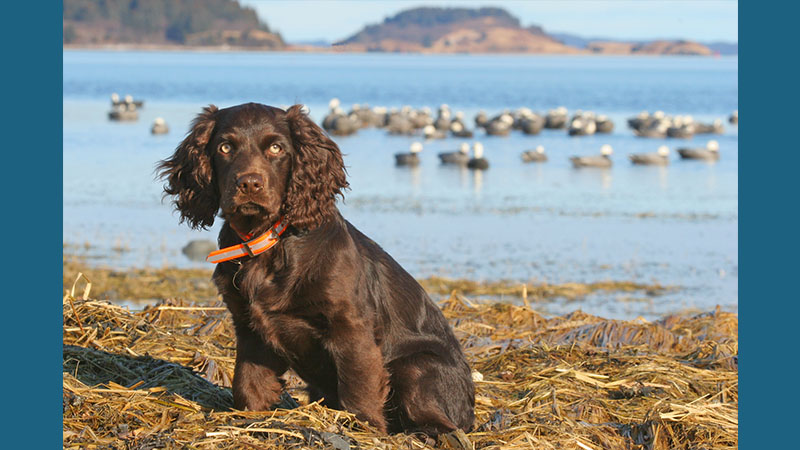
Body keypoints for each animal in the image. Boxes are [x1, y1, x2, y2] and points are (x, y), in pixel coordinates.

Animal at [156, 103, 476, 436]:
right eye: (225, 147)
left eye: (276, 148)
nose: (249, 184)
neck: (268, 241)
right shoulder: (248, 327)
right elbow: (248, 382)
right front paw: (250, 418)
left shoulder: (351, 327)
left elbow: (358, 388)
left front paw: (363, 429)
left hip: (416, 367)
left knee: (443, 424)